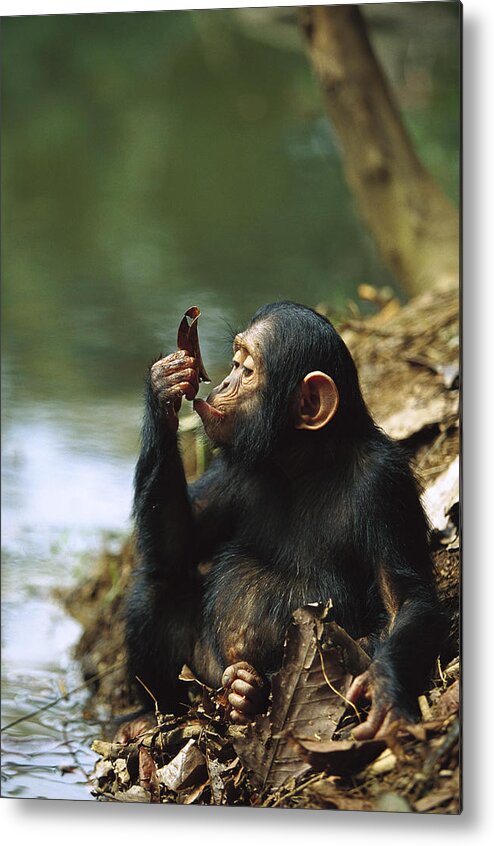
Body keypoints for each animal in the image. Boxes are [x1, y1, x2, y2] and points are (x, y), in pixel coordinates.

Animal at [124, 302, 448, 740]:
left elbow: (404, 600)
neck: (303, 461)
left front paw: (385, 690)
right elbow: (180, 545)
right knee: (158, 585)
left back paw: (249, 693)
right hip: (201, 669)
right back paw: (153, 712)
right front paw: (165, 384)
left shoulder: (385, 482)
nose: (223, 381)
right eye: (234, 362)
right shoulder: (231, 469)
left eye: (246, 370)